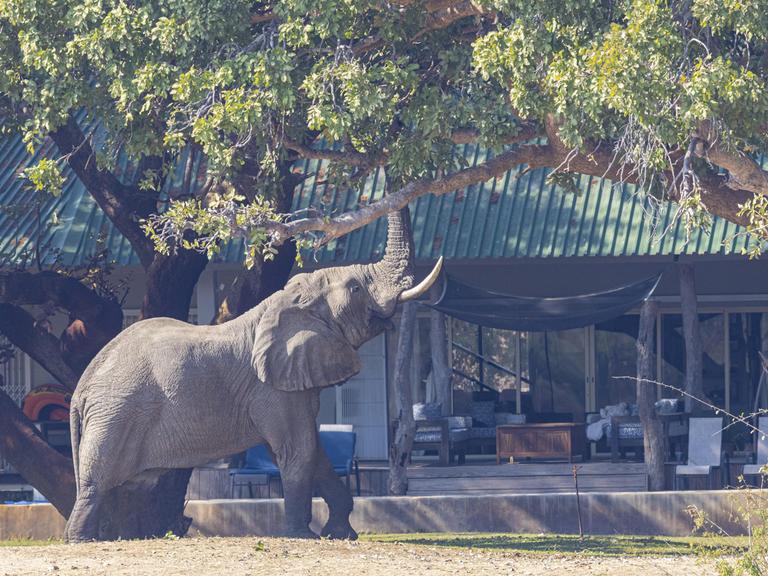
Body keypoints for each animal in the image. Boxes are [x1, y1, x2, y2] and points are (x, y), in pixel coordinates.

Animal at [64, 210, 442, 542]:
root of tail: (82, 386)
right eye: (355, 288)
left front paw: (341, 534)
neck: (287, 302)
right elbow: (299, 449)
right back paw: (83, 540)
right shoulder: (272, 388)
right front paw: (303, 536)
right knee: (98, 481)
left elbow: (314, 452)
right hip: (117, 413)